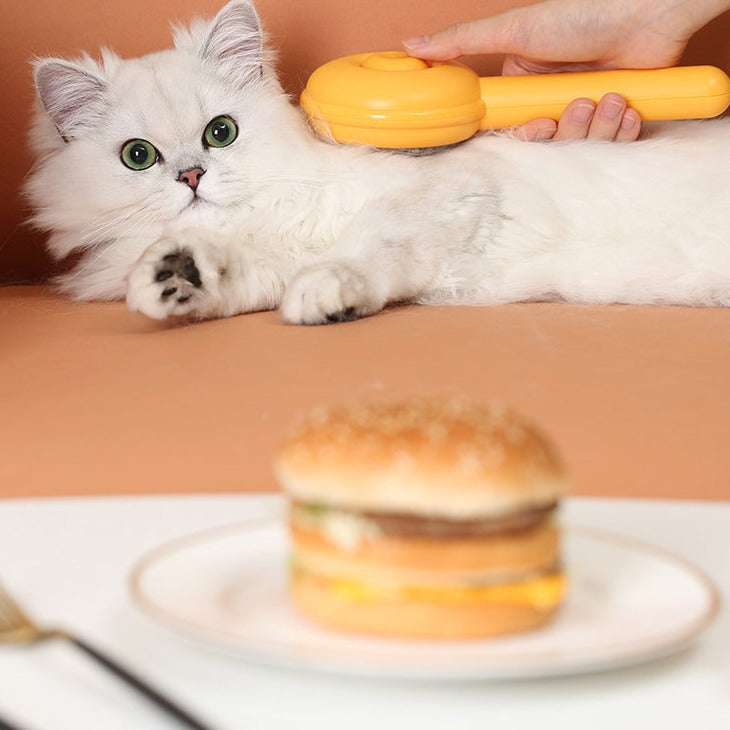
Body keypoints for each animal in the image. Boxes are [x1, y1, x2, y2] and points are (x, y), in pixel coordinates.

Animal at [25, 0, 728, 324]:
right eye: (138, 157)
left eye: (220, 133)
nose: (192, 177)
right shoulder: (265, 260)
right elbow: (233, 279)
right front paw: (174, 280)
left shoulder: (447, 192)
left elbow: (367, 248)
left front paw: (326, 293)